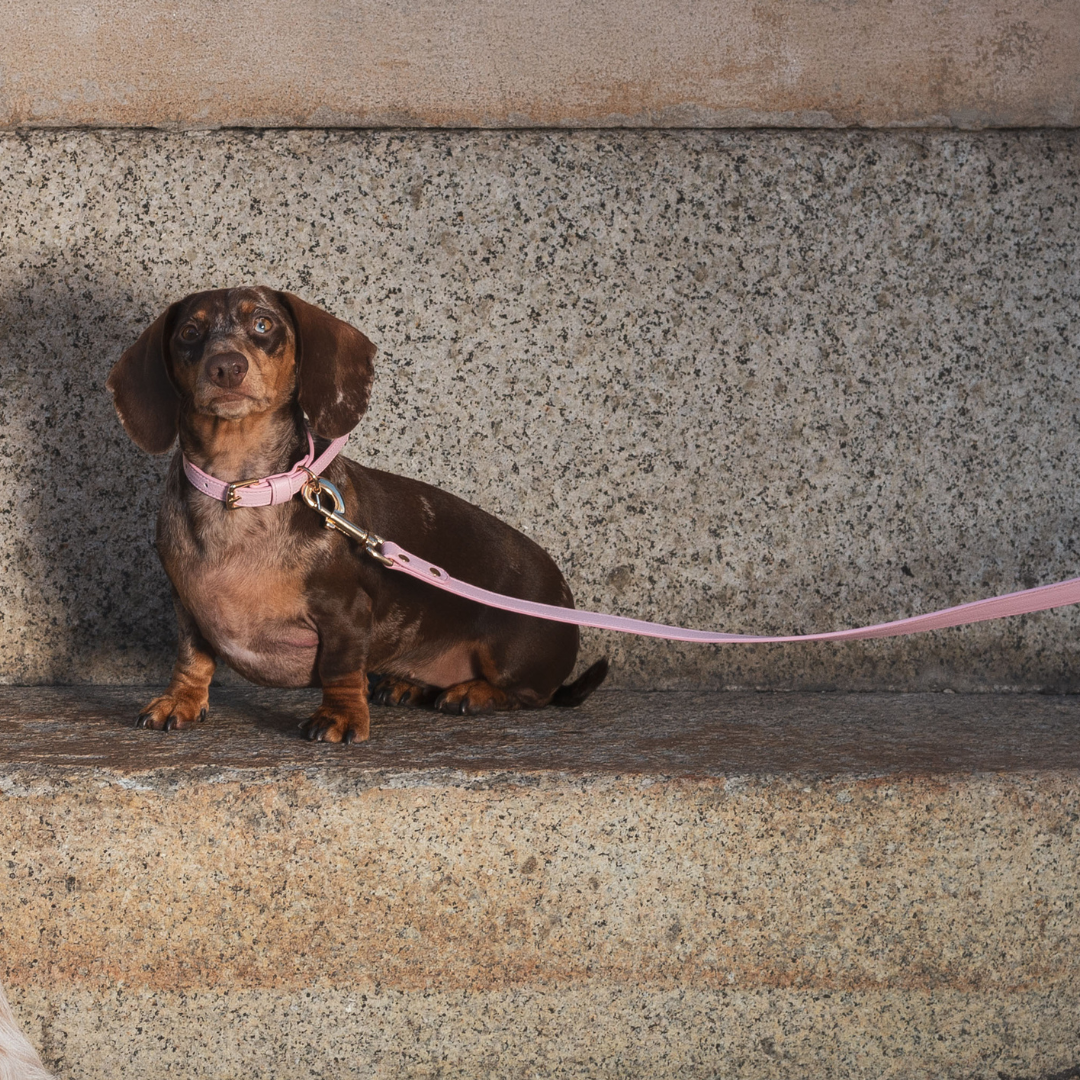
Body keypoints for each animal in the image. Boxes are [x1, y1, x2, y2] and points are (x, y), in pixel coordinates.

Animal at [108, 287, 609, 743]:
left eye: (263, 324)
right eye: (190, 333)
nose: (226, 367)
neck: (242, 490)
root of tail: (563, 597)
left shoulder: (346, 612)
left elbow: (341, 668)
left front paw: (342, 716)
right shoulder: (188, 606)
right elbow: (192, 657)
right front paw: (181, 700)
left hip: (512, 652)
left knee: (532, 695)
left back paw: (474, 693)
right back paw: (408, 685)